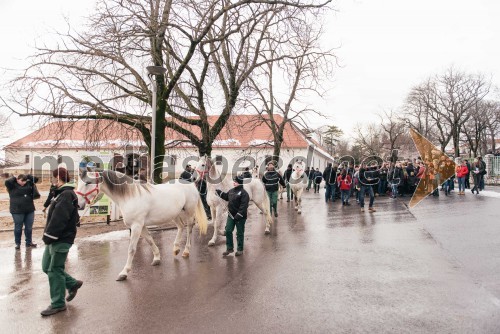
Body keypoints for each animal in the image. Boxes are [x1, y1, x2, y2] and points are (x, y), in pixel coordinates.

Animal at [75, 170, 208, 282]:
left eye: (87, 183)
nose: (78, 204)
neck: (130, 197)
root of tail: (190, 184)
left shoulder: (136, 226)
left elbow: (132, 249)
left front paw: (124, 272)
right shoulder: (141, 226)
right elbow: (150, 240)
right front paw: (157, 258)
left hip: (189, 213)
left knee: (189, 228)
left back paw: (186, 251)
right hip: (174, 214)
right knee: (181, 227)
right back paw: (175, 249)